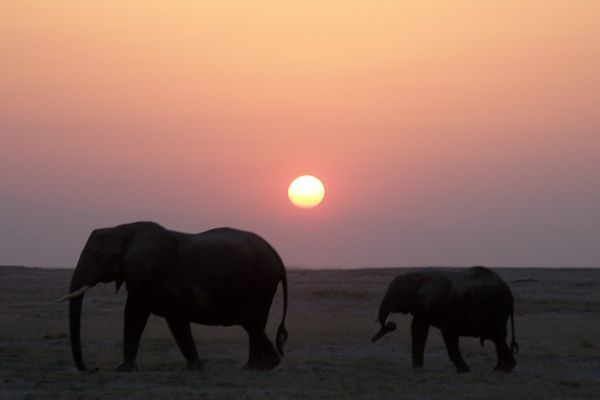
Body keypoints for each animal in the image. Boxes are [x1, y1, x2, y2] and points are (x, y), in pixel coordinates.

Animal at [61, 222, 288, 372]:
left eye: (99, 257)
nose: (94, 369)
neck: (125, 230)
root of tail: (276, 254)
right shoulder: (143, 275)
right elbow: (134, 314)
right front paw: (123, 369)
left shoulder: (168, 276)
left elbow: (175, 318)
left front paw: (194, 367)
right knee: (255, 322)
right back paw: (253, 367)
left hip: (262, 281)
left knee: (253, 319)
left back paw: (262, 366)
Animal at [370, 268, 516, 374]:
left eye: (398, 294)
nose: (391, 324)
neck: (421, 276)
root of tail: (507, 288)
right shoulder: (422, 307)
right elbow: (418, 330)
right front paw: (418, 370)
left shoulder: (447, 305)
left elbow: (449, 333)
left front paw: (464, 371)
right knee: (498, 336)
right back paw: (499, 369)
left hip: (499, 308)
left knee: (497, 334)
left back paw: (505, 369)